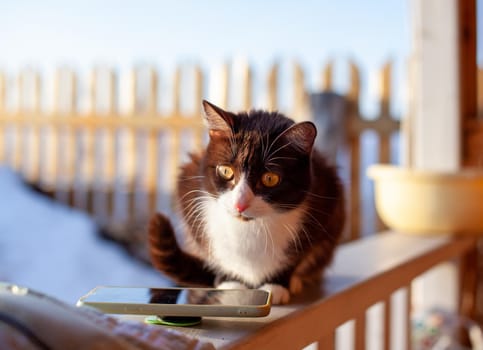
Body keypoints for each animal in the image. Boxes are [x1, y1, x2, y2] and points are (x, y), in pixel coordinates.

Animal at [149, 100, 346, 304]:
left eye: (270, 178)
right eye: (226, 171)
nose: (240, 204)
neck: (251, 226)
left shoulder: (327, 200)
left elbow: (299, 254)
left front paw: (276, 285)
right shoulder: (189, 189)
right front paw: (231, 282)